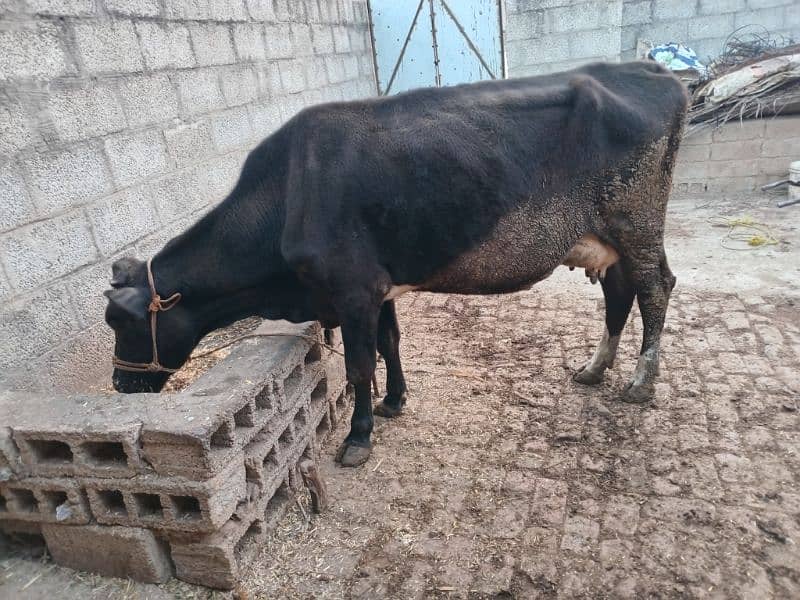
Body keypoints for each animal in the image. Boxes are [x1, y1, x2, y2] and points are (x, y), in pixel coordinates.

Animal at [104, 61, 688, 466]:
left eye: (122, 322)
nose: (119, 385)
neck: (288, 194)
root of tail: (651, 70)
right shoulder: (377, 289)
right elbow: (389, 344)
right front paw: (395, 400)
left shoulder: (352, 289)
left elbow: (359, 365)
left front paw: (358, 436)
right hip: (609, 239)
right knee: (620, 293)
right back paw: (595, 369)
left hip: (637, 221)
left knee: (656, 287)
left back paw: (641, 381)